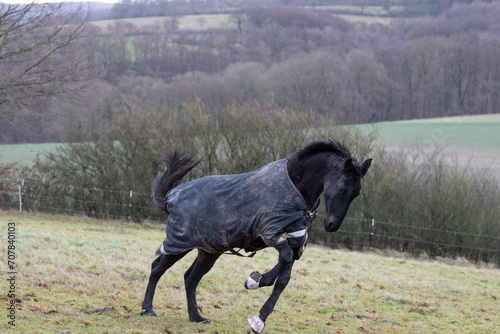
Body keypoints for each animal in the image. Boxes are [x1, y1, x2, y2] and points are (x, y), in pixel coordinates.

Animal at [141, 140, 372, 332]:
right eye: (342, 188)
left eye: (357, 193)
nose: (331, 225)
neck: (296, 189)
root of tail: (171, 196)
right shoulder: (271, 233)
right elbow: (284, 261)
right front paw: (256, 289)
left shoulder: (294, 242)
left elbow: (283, 278)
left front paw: (258, 308)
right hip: (179, 243)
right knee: (158, 267)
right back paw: (147, 309)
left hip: (209, 251)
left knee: (190, 278)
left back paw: (196, 317)